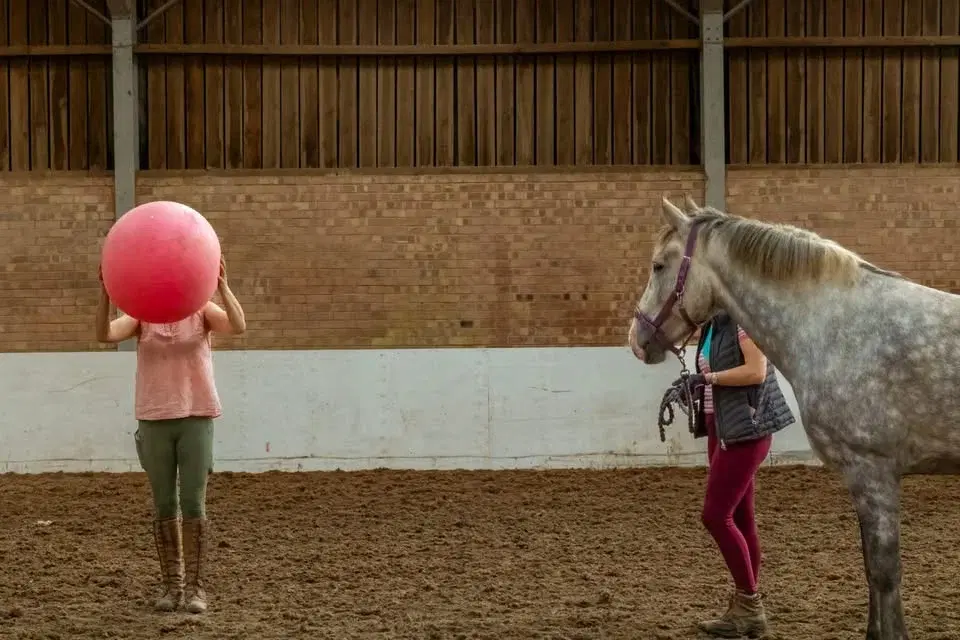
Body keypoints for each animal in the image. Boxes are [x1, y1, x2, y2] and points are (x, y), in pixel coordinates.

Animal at [627, 195, 960, 640]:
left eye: (659, 265)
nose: (637, 340)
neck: (834, 328)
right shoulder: (859, 478)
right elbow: (869, 568)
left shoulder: (874, 472)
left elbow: (884, 572)